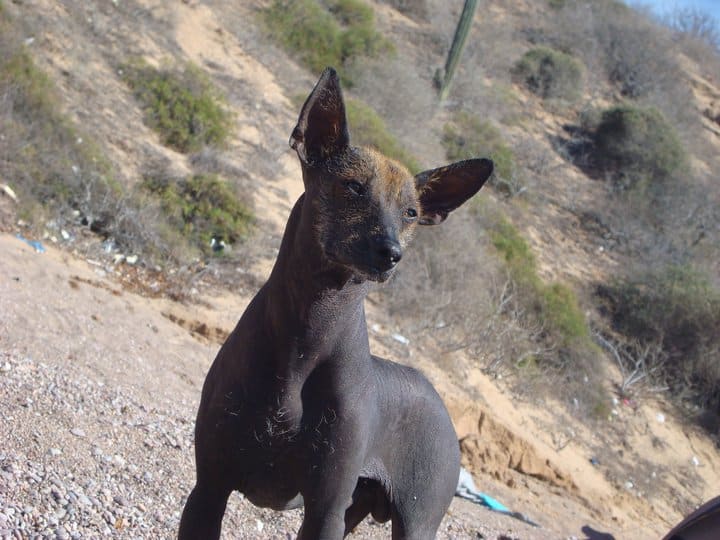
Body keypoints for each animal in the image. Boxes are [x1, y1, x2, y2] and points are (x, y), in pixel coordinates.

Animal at [180, 68, 496, 540]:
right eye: (353, 187)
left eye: (410, 212)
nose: (391, 252)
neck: (310, 329)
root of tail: (439, 400)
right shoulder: (209, 488)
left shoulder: (325, 508)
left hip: (413, 520)